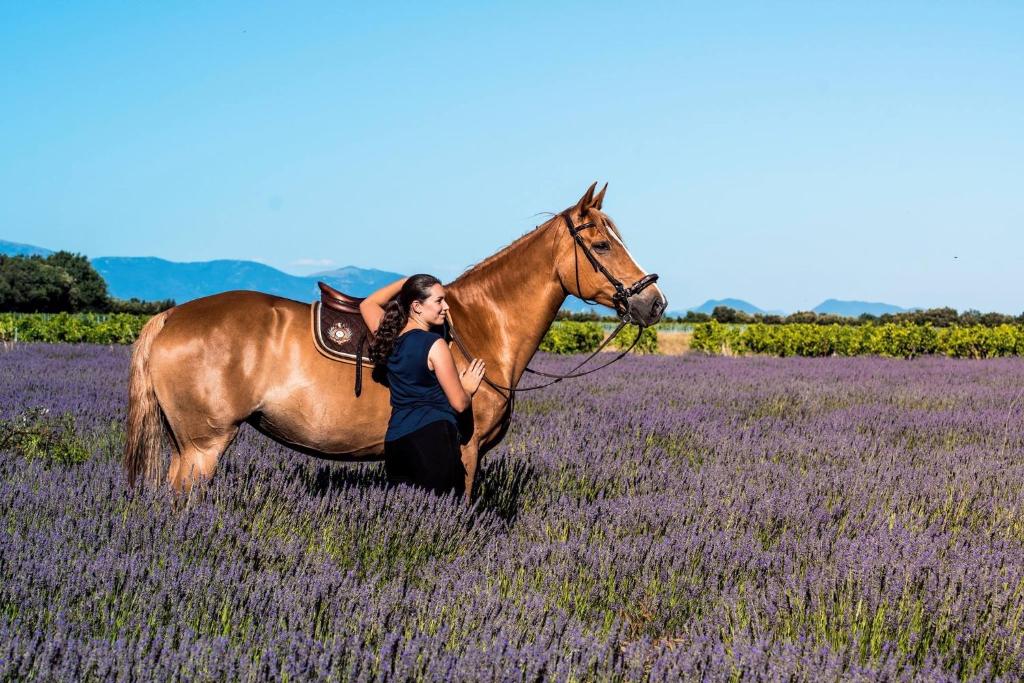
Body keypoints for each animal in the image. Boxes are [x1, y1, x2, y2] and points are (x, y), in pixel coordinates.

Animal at [124, 183, 667, 496]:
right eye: (601, 244)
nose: (655, 301)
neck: (478, 328)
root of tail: (170, 318)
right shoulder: (466, 453)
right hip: (202, 448)